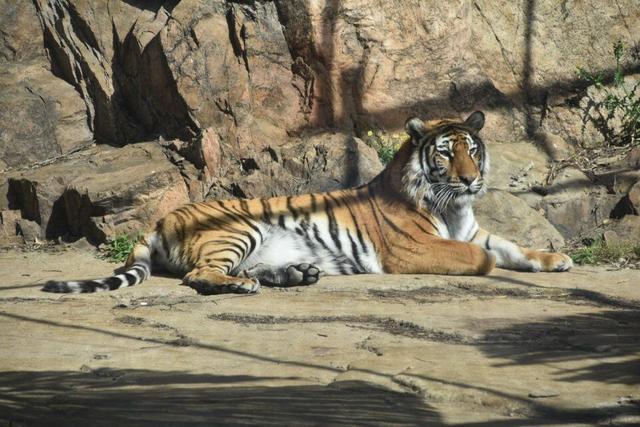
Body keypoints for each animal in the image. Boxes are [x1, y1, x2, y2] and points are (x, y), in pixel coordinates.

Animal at [43, 110, 576, 296]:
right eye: (446, 153)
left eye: (473, 149)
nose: (470, 179)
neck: (453, 206)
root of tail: (159, 218)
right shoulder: (414, 249)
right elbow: (482, 258)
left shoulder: (474, 230)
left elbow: (511, 247)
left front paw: (556, 259)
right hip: (237, 230)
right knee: (201, 275)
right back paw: (244, 287)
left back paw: (297, 274)